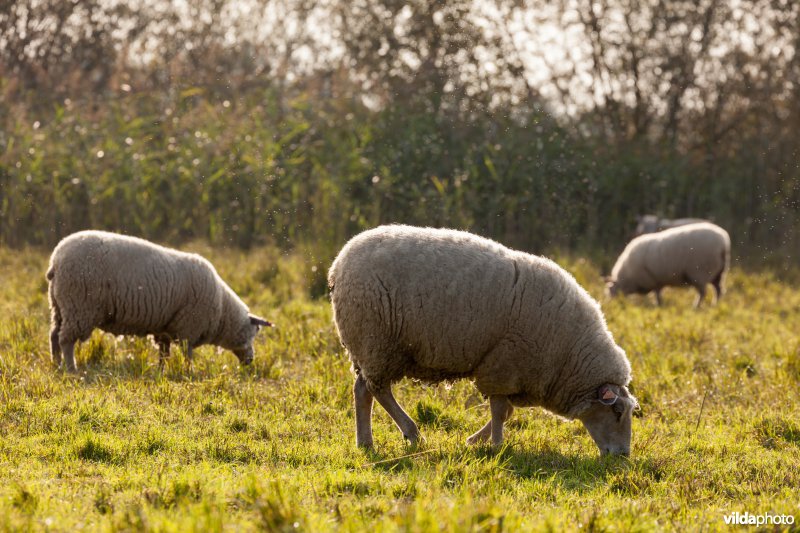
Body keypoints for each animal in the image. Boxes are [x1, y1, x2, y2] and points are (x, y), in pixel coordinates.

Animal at [47, 229, 272, 370]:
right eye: (254, 333)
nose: (250, 361)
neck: (223, 312)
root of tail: (56, 260)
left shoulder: (165, 329)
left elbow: (164, 353)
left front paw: (162, 371)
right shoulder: (188, 328)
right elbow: (186, 355)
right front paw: (189, 372)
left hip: (60, 306)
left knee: (53, 335)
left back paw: (56, 365)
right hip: (79, 306)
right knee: (65, 339)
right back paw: (71, 368)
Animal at [328, 225, 640, 458]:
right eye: (617, 411)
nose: (623, 456)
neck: (569, 355)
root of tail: (338, 263)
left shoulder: (513, 373)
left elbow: (507, 410)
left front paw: (475, 440)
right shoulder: (503, 364)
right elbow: (501, 412)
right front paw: (497, 446)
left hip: (371, 347)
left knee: (363, 390)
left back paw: (366, 442)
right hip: (376, 341)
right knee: (377, 390)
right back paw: (410, 432)